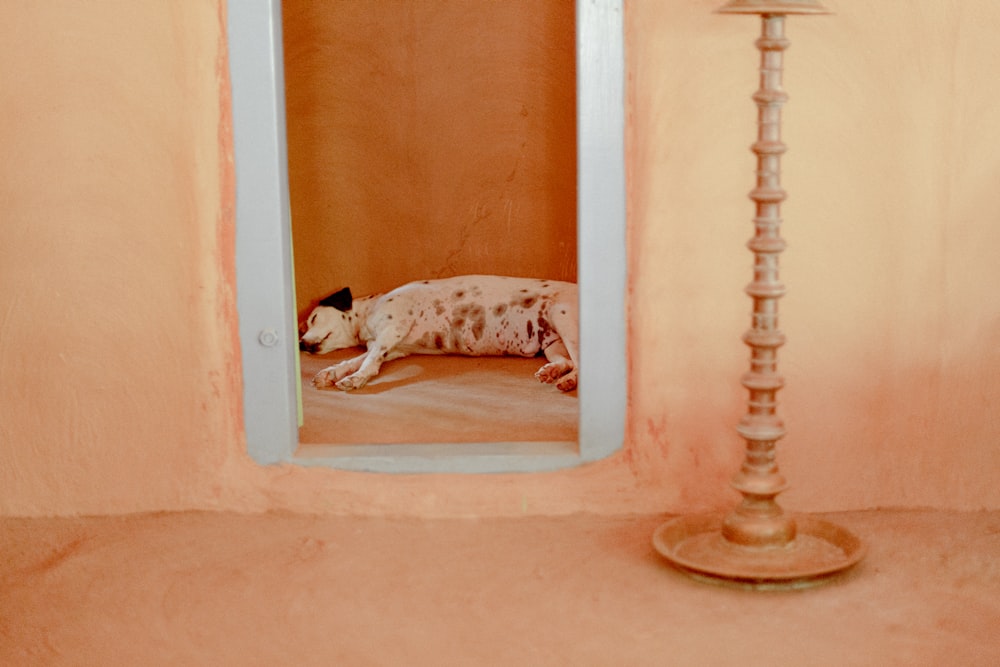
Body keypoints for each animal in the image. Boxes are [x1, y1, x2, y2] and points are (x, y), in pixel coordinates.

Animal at [296, 276, 580, 392]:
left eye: (312, 319)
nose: (300, 344)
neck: (367, 314)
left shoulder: (391, 331)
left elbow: (367, 363)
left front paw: (355, 379)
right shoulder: (392, 348)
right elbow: (354, 360)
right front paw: (331, 372)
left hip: (563, 319)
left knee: (580, 365)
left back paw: (568, 382)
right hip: (553, 344)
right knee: (567, 362)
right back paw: (553, 372)